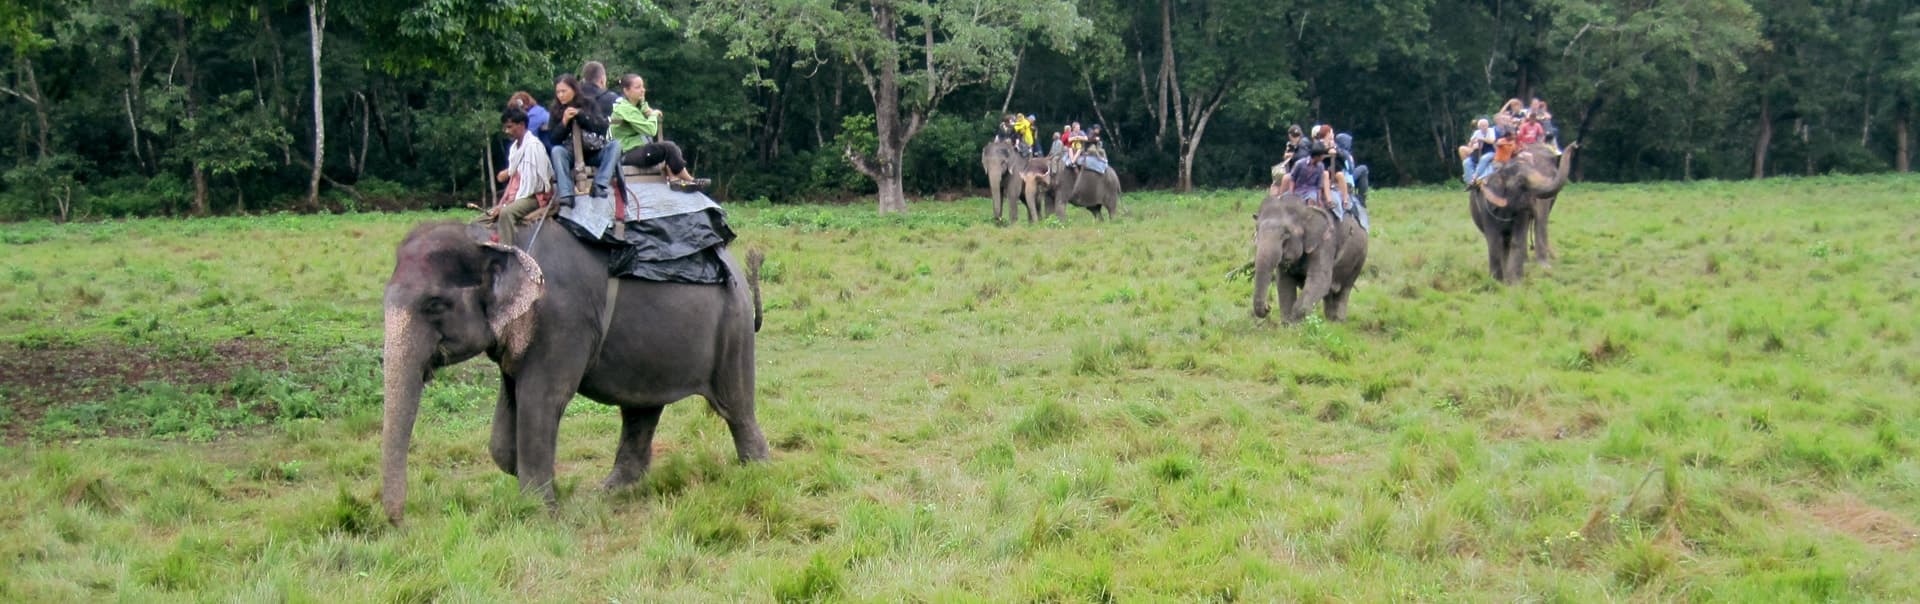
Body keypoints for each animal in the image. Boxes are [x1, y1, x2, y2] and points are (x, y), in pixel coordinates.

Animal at [378, 221, 769, 523]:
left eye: (434, 304)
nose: (400, 523)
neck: (496, 238)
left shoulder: (562, 321)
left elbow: (541, 400)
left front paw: (539, 512)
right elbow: (505, 421)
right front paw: (535, 481)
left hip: (732, 329)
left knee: (735, 407)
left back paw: (756, 472)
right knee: (640, 410)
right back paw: (614, 490)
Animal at [1251, 194, 1369, 323]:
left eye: (1286, 234)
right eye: (1256, 230)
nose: (1268, 307)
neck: (1306, 210)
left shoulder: (1326, 242)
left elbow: (1320, 279)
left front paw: (1295, 323)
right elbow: (1283, 282)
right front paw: (1287, 324)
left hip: (1359, 258)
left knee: (1345, 288)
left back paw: (1338, 321)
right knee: (1330, 291)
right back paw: (1330, 321)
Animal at [1469, 142, 1576, 284]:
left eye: (1554, 173)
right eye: (1520, 181)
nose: (1575, 145)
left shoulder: (1522, 211)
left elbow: (1517, 239)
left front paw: (1516, 282)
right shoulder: (1486, 205)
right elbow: (1493, 240)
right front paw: (1496, 281)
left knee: (1507, 242)